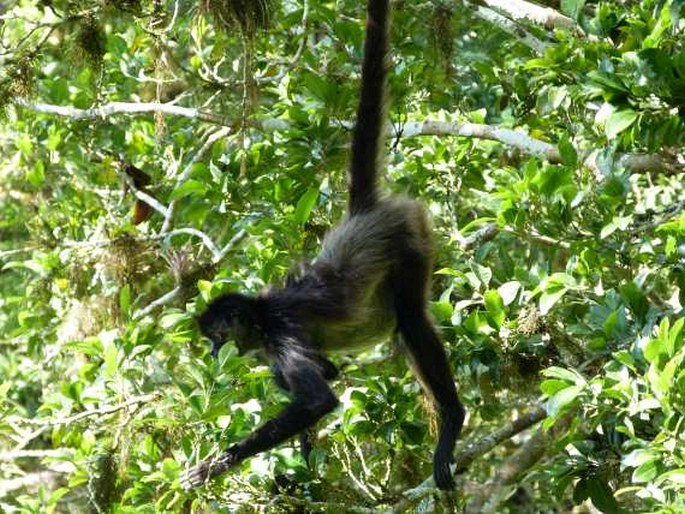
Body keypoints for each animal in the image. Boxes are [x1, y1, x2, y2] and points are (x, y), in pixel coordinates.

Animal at [180, 0, 464, 490]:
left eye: (217, 336)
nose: (216, 354)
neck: (260, 315)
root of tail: (360, 215)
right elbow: (321, 377)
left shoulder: (279, 333)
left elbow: (317, 401)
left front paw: (220, 462)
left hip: (408, 236)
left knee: (411, 320)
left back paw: (452, 421)